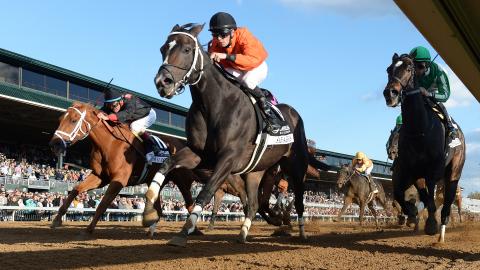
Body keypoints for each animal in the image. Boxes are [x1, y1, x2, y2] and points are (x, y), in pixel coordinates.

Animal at [382, 52, 464, 243]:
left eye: (408, 68)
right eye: (389, 69)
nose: (390, 92)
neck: (419, 131)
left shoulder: (433, 169)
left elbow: (431, 198)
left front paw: (431, 224)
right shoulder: (411, 171)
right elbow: (401, 196)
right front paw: (412, 215)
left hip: (454, 171)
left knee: (448, 201)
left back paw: (443, 228)